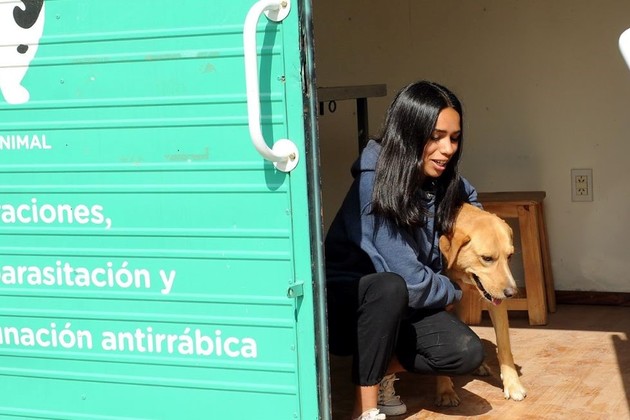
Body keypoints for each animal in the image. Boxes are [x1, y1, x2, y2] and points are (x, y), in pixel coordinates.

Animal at [435, 203, 527, 406]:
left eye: (510, 256)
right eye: (487, 258)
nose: (512, 293)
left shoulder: (494, 301)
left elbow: (504, 346)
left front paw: (512, 385)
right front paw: (445, 390)